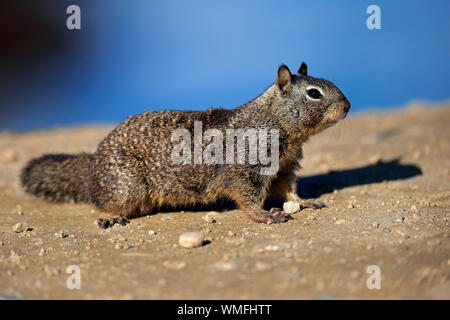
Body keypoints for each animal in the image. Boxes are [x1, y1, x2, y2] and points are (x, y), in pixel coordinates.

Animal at [21, 62, 350, 225]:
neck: (273, 121)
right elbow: (248, 195)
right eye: (314, 93)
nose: (347, 106)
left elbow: (289, 188)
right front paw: (265, 215)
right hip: (127, 185)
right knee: (102, 201)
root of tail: (92, 165)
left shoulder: (284, 165)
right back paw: (111, 217)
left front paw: (305, 201)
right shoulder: (245, 168)